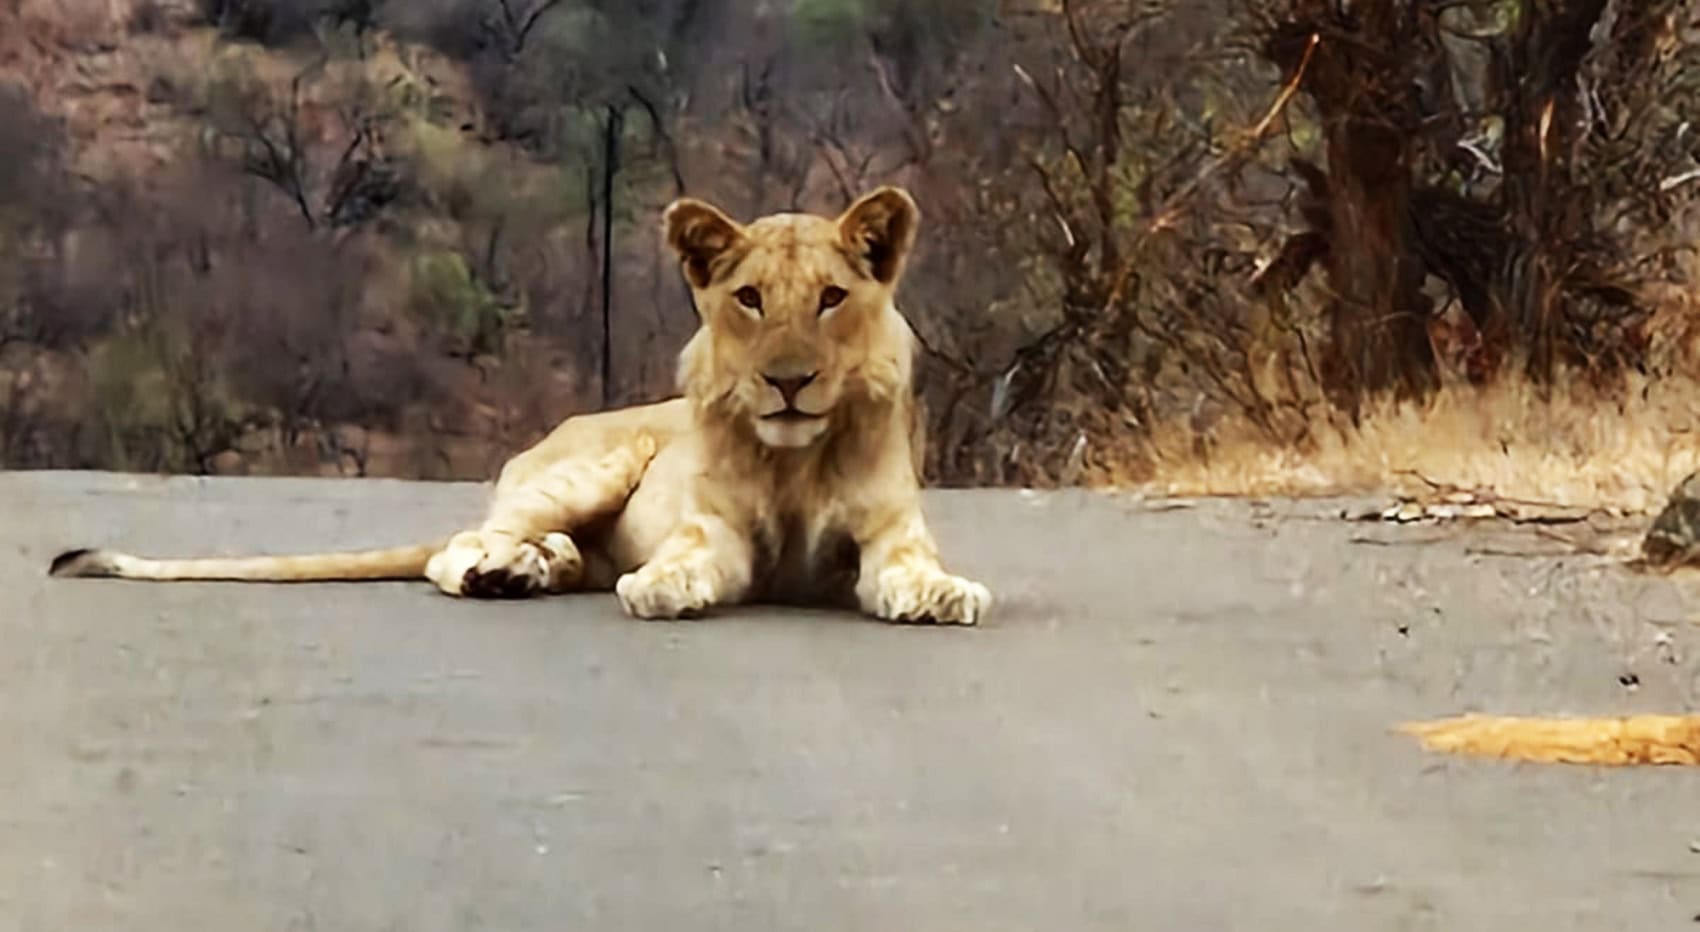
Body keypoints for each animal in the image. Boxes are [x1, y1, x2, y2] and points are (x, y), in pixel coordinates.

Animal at [49, 186, 992, 625]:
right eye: (751, 299)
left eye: (831, 298)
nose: (788, 381)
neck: (797, 456)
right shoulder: (716, 532)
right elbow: (687, 562)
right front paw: (661, 586)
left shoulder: (887, 536)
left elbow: (911, 571)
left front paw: (947, 594)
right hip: (590, 468)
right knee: (459, 546)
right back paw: (504, 570)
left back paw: (539, 567)